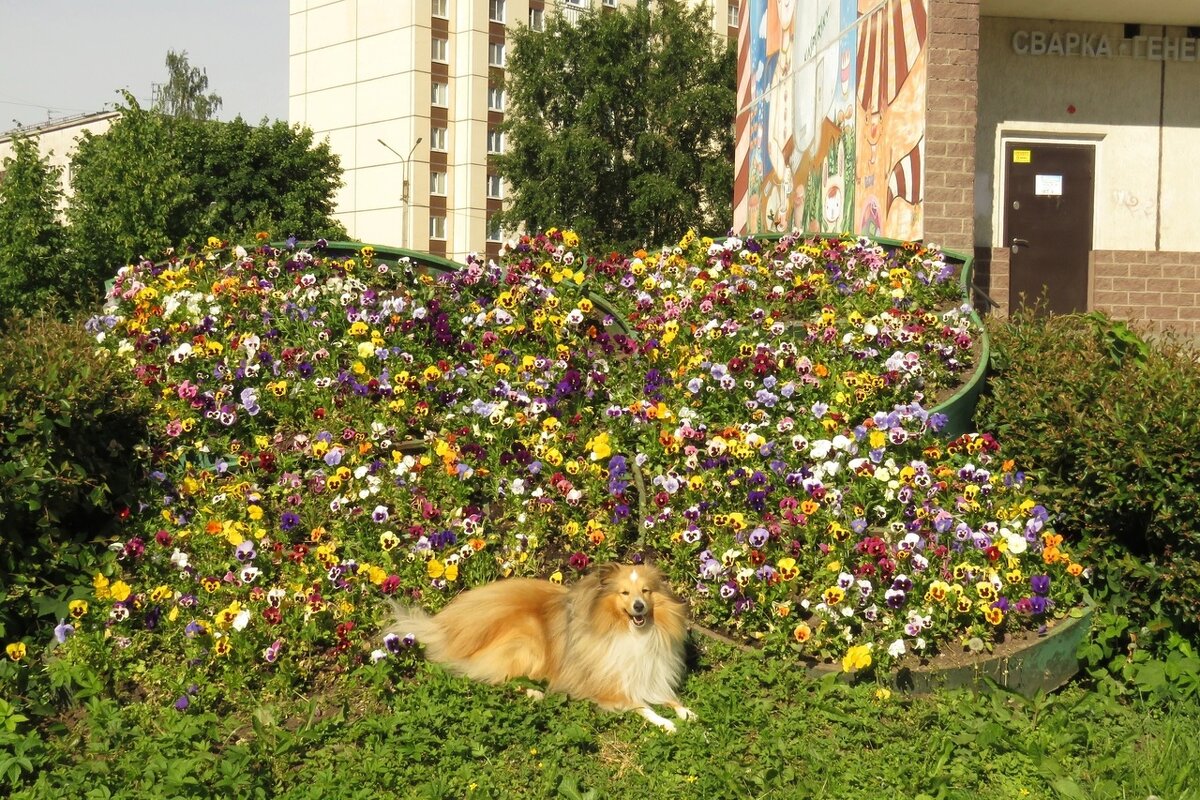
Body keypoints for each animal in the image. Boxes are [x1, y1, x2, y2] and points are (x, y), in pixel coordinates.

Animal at [386, 563, 696, 734]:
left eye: (646, 591)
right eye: (624, 593)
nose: (639, 607)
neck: (629, 631)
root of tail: (448, 628)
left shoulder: (649, 674)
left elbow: (667, 697)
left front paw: (686, 713)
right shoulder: (609, 687)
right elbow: (642, 706)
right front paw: (667, 724)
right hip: (528, 640)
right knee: (504, 679)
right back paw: (536, 692)